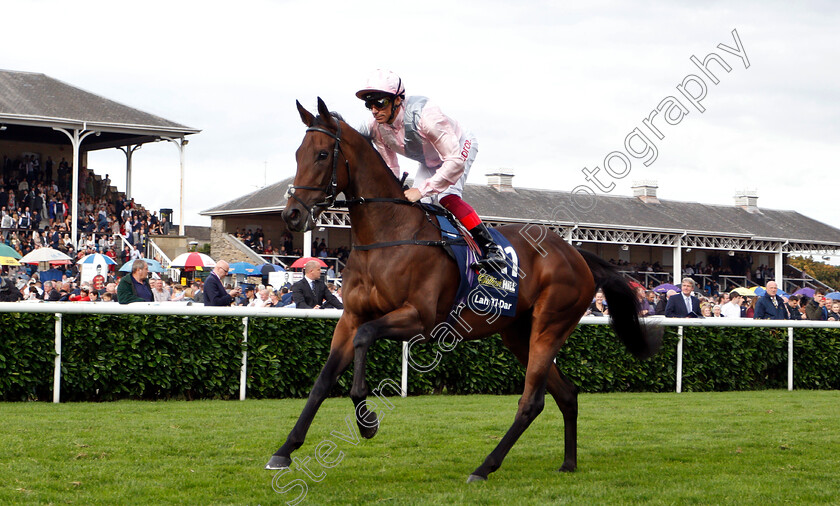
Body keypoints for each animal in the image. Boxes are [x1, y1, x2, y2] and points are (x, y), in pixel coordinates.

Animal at [266, 97, 660, 480]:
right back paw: (568, 463)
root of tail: (576, 254)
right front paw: (285, 450)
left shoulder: (419, 318)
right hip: (517, 333)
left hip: (550, 325)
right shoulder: (350, 316)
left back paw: (484, 468)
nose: (291, 216)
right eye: (298, 154)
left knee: (532, 401)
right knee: (567, 393)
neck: (388, 235)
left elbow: (365, 340)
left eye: (321, 155)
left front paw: (367, 422)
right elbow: (323, 379)